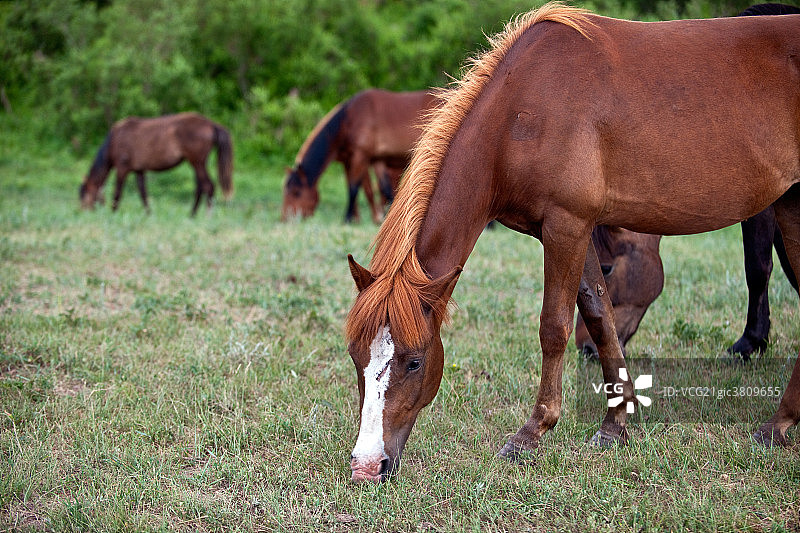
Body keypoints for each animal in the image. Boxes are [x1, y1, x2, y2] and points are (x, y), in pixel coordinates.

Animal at [79, 112, 233, 216]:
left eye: (85, 196)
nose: (83, 213)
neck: (114, 141)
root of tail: (211, 124)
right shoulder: (139, 170)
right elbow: (143, 193)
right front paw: (149, 213)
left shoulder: (122, 169)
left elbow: (118, 193)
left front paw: (113, 213)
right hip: (197, 163)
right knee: (200, 187)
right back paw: (192, 214)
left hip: (197, 162)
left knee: (209, 186)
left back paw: (206, 215)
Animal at [281, 89, 441, 223]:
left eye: (296, 193)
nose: (285, 219)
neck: (349, 119)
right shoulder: (376, 160)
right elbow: (384, 189)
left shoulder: (360, 157)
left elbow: (354, 188)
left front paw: (348, 218)